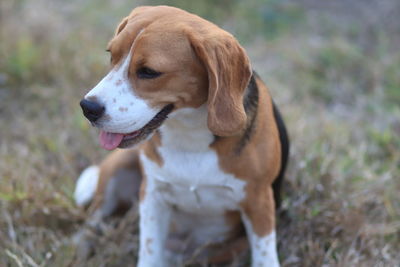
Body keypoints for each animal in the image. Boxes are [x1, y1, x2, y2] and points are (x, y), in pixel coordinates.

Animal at [76, 4, 288, 267]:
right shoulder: (153, 195)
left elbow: (264, 255)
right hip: (119, 168)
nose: (88, 108)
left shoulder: (259, 202)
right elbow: (149, 251)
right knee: (93, 221)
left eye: (149, 72)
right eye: (111, 56)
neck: (190, 133)